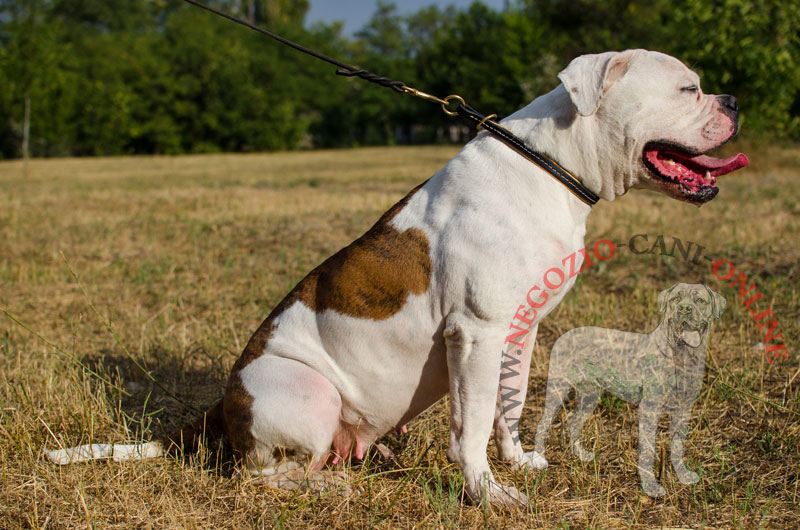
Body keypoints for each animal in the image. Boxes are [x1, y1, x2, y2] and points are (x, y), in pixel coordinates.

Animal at [47, 49, 748, 504]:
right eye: (688, 90)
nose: (735, 99)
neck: (551, 161)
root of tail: (222, 409)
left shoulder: (517, 333)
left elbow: (508, 405)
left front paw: (519, 462)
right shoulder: (476, 332)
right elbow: (472, 422)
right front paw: (488, 494)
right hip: (306, 393)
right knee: (262, 476)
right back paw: (328, 484)